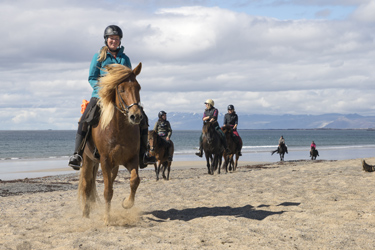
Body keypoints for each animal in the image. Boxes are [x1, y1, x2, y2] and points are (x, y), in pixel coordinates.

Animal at [78, 63, 144, 225]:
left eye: (138, 87)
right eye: (121, 89)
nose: (136, 116)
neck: (119, 129)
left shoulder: (132, 159)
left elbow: (134, 180)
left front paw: (127, 203)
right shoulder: (105, 161)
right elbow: (107, 191)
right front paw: (107, 218)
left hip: (113, 166)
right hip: (88, 161)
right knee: (86, 186)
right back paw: (85, 214)